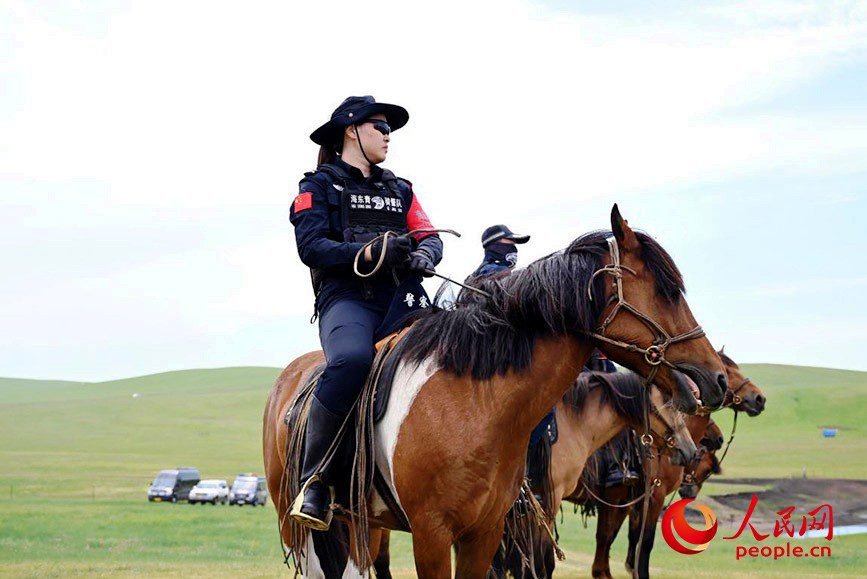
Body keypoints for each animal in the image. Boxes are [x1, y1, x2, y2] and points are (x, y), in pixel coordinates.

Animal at [262, 206, 724, 576]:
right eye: (667, 291)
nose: (716, 379)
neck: (475, 403)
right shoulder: (433, 533)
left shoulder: (485, 531)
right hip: (295, 522)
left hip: (359, 519)